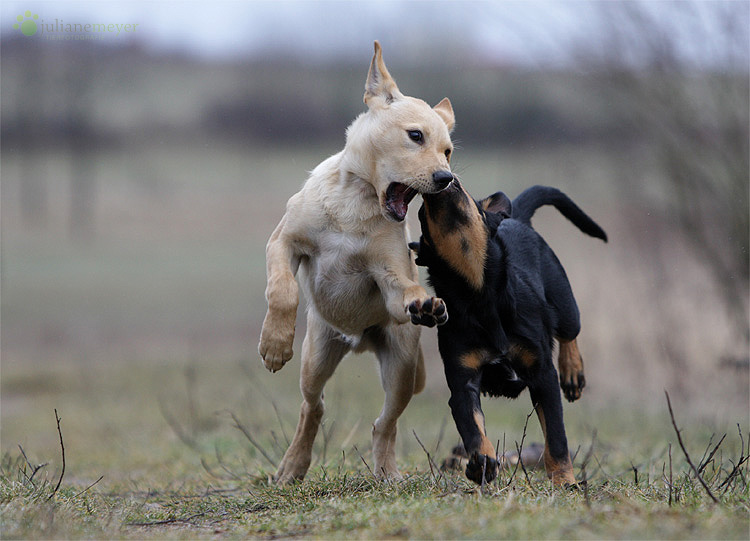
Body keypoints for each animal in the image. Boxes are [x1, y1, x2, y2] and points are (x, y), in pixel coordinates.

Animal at [258, 40, 458, 484]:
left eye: (448, 151)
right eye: (415, 135)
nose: (446, 179)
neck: (357, 204)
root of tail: (358, 340)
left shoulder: (389, 277)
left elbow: (405, 289)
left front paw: (426, 304)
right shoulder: (283, 242)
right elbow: (282, 289)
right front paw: (275, 344)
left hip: (401, 365)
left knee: (384, 423)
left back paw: (386, 472)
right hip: (316, 356)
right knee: (313, 407)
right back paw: (292, 466)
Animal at [414, 180, 608, 486]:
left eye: (467, 194)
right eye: (422, 214)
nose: (448, 180)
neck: (478, 296)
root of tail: (516, 217)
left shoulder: (543, 375)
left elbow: (556, 436)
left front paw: (565, 481)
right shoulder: (463, 381)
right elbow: (473, 428)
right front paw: (481, 463)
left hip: (563, 298)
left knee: (570, 331)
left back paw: (572, 374)